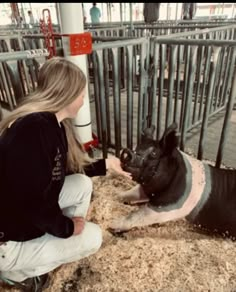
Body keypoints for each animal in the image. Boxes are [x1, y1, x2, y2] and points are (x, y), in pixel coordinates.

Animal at [108, 122, 236, 238]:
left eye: (154, 153)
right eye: (136, 147)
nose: (126, 152)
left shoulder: (172, 205)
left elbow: (139, 214)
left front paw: (112, 225)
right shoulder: (146, 189)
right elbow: (127, 194)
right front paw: (115, 197)